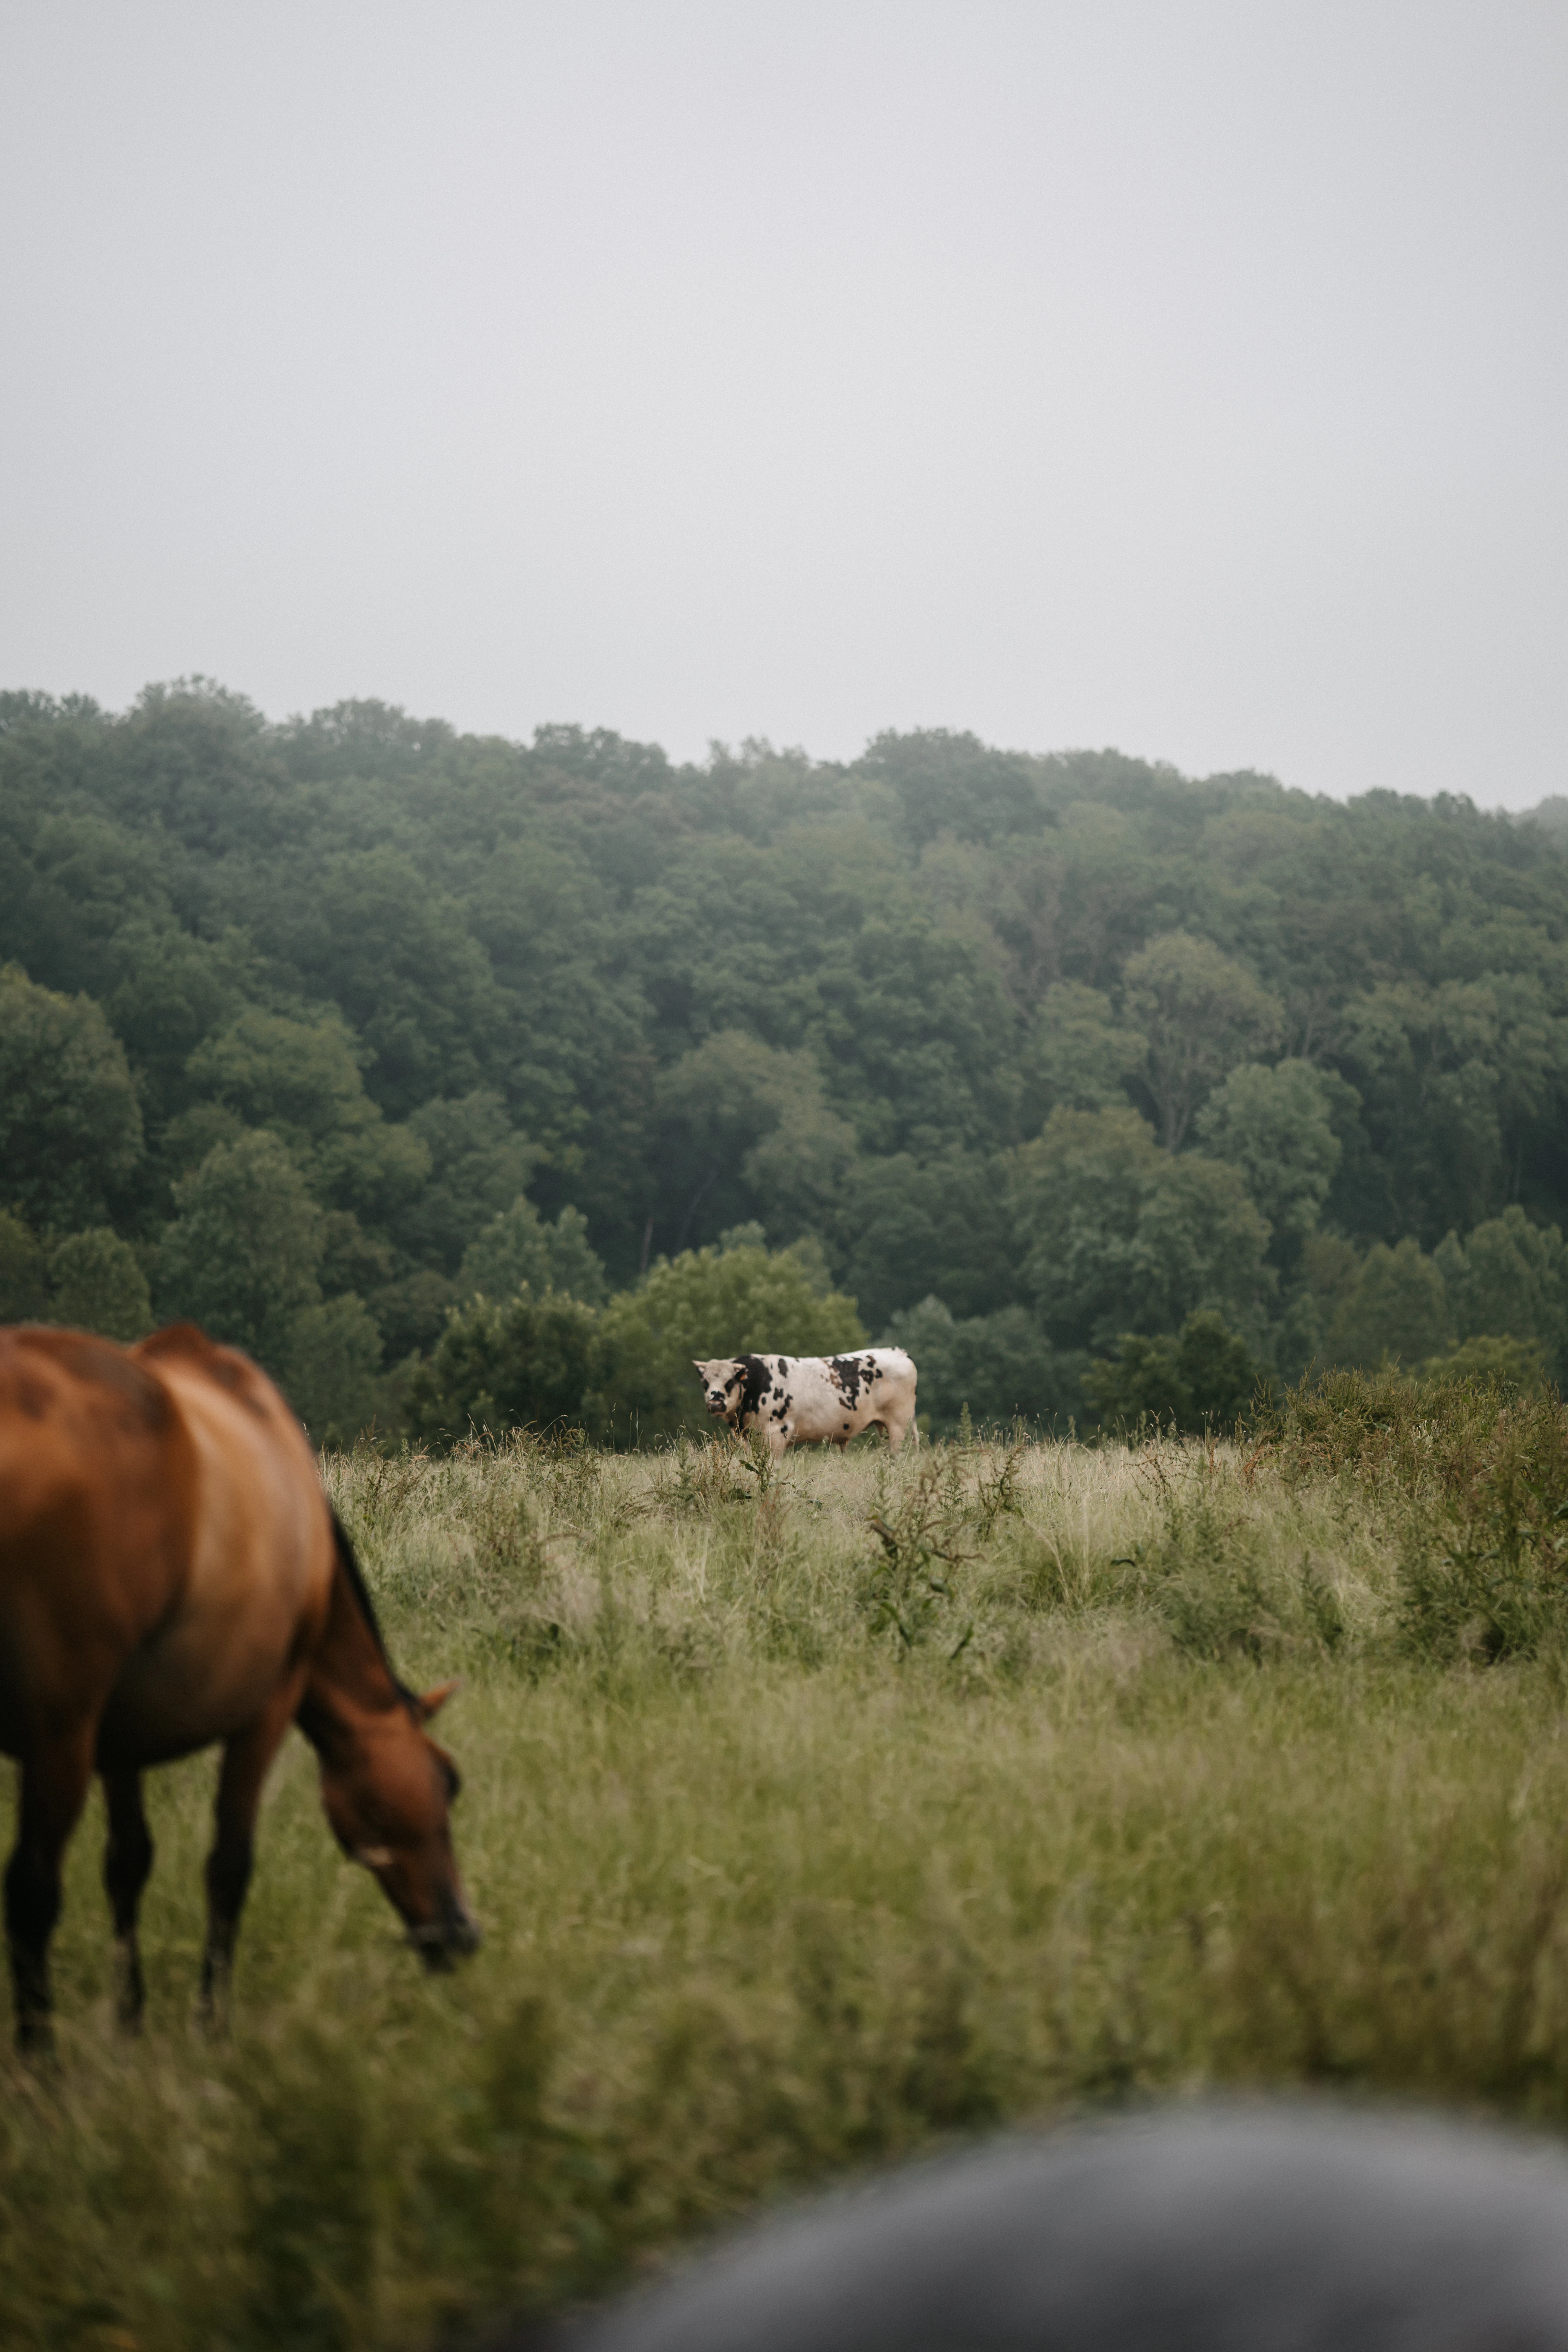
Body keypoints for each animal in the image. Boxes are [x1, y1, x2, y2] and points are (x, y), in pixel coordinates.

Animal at [692, 1349, 918, 1459]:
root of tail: (898, 1352)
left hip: (899, 1426)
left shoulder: (777, 1433)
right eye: (705, 1383)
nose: (715, 1403)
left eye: (730, 1382)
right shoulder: (748, 1438)